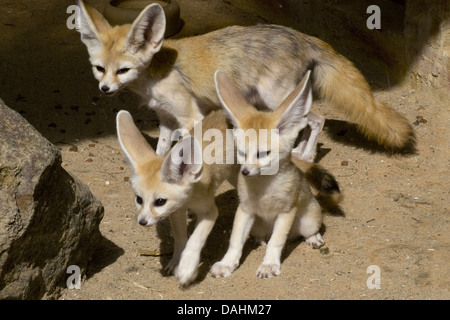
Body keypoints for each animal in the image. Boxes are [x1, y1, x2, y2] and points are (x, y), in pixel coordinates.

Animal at [75, 0, 414, 160]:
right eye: (99, 69)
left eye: (122, 70)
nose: (105, 89)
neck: (154, 75)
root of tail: (301, 35)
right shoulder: (166, 119)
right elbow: (160, 150)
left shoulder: (191, 116)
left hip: (274, 99)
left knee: (316, 120)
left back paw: (305, 154)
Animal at [118, 109, 239, 284]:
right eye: (139, 199)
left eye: (160, 201)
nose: (142, 222)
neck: (191, 195)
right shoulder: (176, 211)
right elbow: (180, 237)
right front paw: (177, 261)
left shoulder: (210, 212)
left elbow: (195, 239)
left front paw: (187, 266)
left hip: (236, 178)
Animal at [211, 71, 326, 278]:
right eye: (241, 152)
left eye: (263, 153)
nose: (245, 171)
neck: (264, 188)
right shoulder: (245, 209)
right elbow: (235, 241)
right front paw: (227, 263)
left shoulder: (286, 211)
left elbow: (277, 241)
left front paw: (269, 265)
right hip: (257, 226)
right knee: (262, 235)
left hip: (308, 220)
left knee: (304, 232)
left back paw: (313, 238)